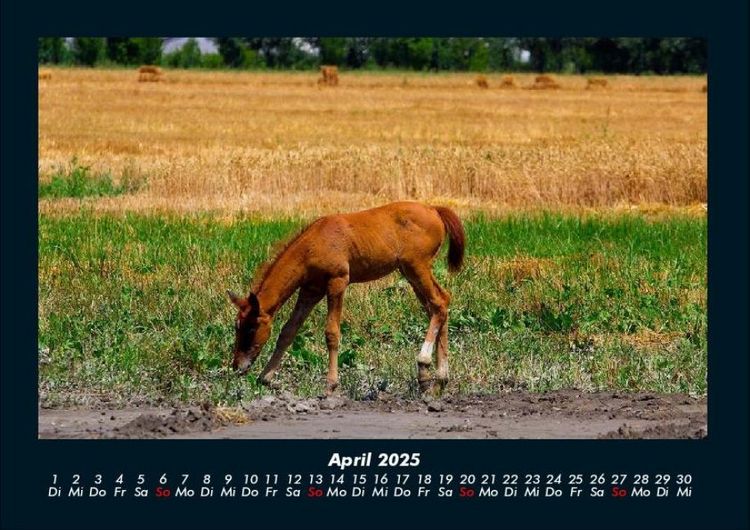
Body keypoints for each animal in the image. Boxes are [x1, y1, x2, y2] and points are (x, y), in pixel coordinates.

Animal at [227, 201, 465, 396]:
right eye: (237, 327)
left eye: (250, 328)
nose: (236, 365)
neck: (313, 244)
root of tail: (433, 209)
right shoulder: (310, 290)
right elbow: (288, 330)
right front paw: (266, 378)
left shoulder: (337, 281)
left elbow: (332, 332)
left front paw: (330, 385)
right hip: (410, 272)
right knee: (439, 305)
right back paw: (437, 380)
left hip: (417, 266)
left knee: (439, 303)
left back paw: (424, 365)